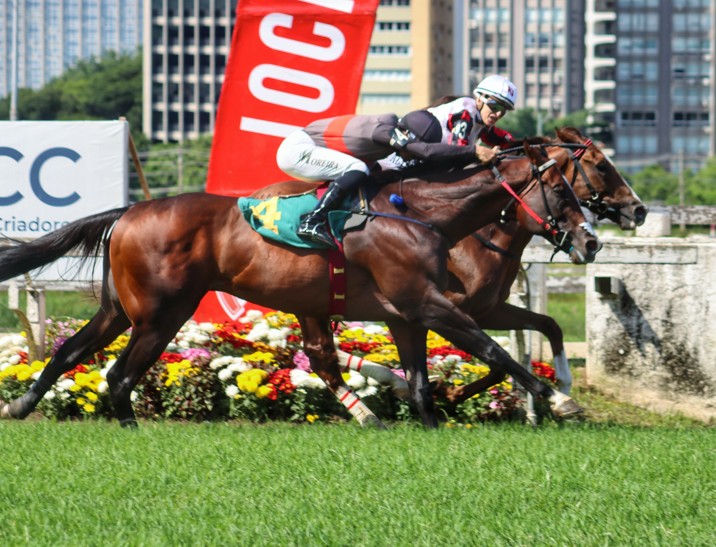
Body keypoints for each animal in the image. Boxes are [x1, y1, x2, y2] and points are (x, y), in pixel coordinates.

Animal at [0, 143, 599, 428]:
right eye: (565, 192)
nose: (592, 242)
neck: (422, 213)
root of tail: (129, 210)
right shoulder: (431, 304)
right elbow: (495, 352)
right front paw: (557, 398)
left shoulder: (407, 314)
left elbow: (424, 382)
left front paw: (430, 422)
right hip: (161, 314)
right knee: (119, 376)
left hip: (122, 309)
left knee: (72, 352)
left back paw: (22, 403)